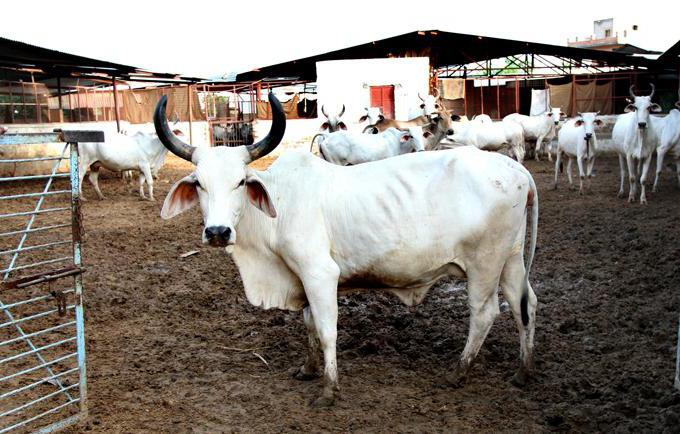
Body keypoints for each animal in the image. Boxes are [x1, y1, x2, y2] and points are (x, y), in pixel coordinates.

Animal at [153, 91, 536, 406]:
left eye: (241, 182)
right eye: (198, 184)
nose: (218, 232)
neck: (280, 204)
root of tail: (512, 167)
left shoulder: (320, 273)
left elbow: (326, 330)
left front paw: (328, 390)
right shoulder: (300, 277)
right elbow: (308, 323)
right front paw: (307, 369)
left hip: (484, 264)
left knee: (485, 313)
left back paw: (459, 372)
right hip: (510, 259)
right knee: (525, 304)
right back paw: (522, 371)